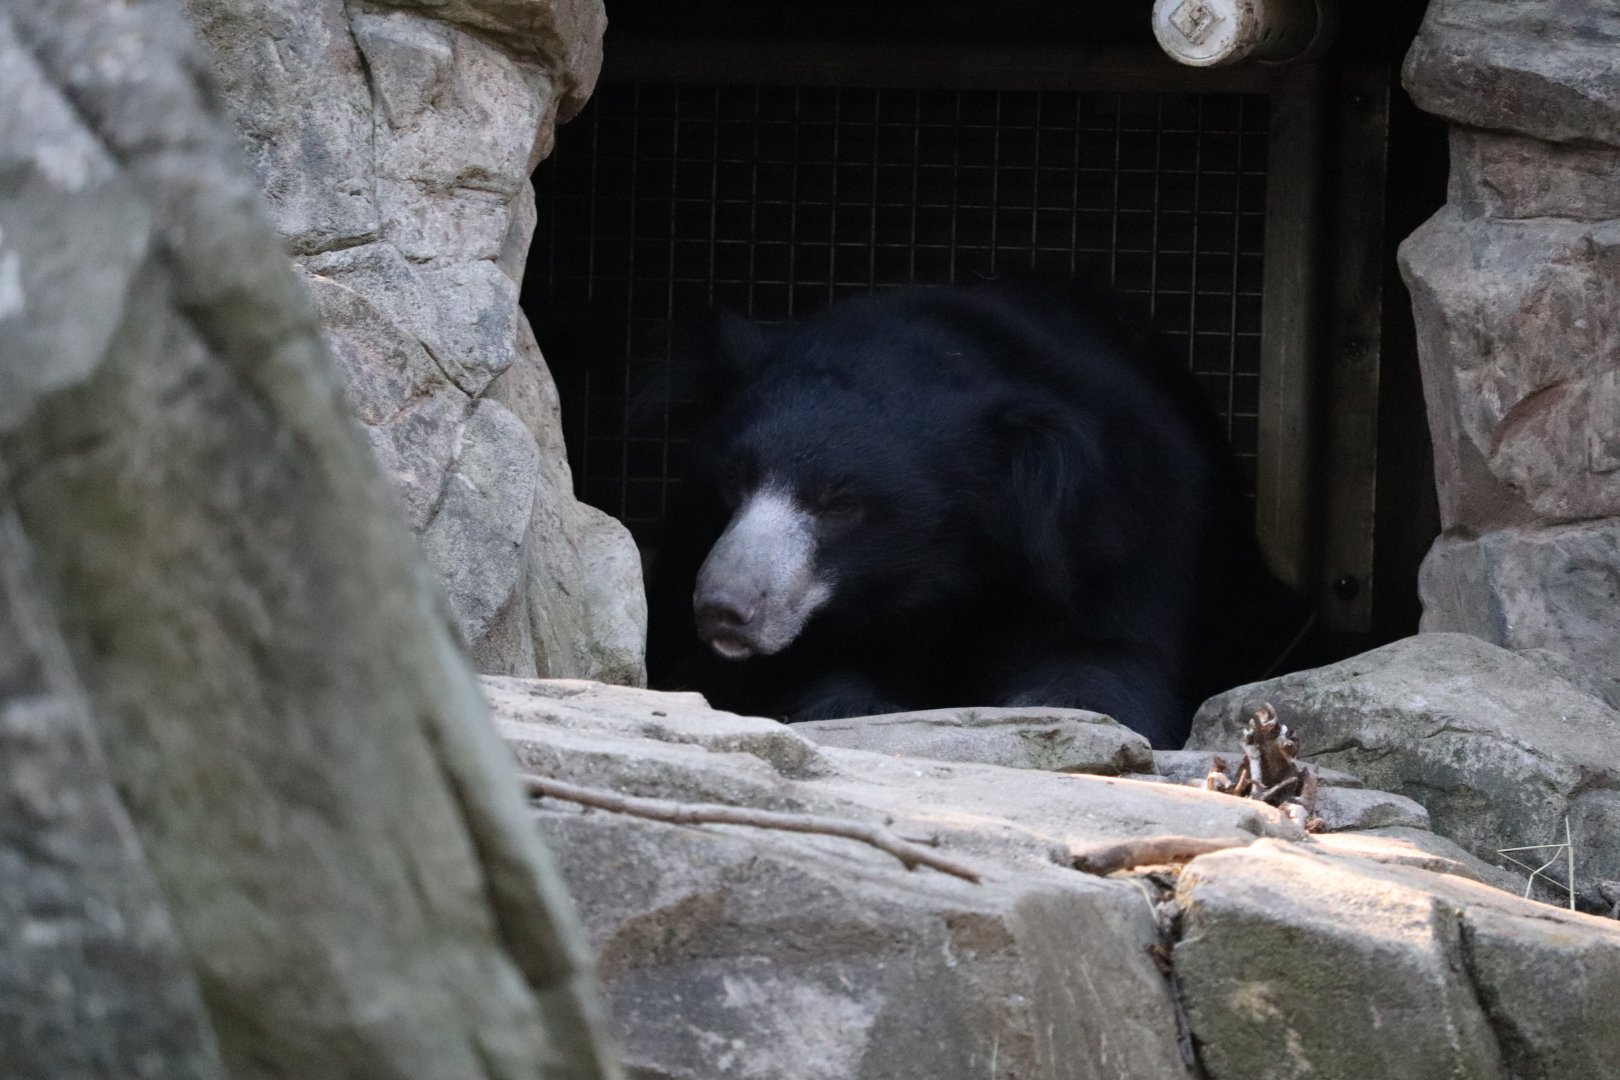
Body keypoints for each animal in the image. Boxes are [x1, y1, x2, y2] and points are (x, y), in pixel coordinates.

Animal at [644, 279, 1304, 749]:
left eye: (841, 504)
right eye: (736, 480)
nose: (723, 608)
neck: (939, 573)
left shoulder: (1125, 522)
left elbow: (1104, 661)